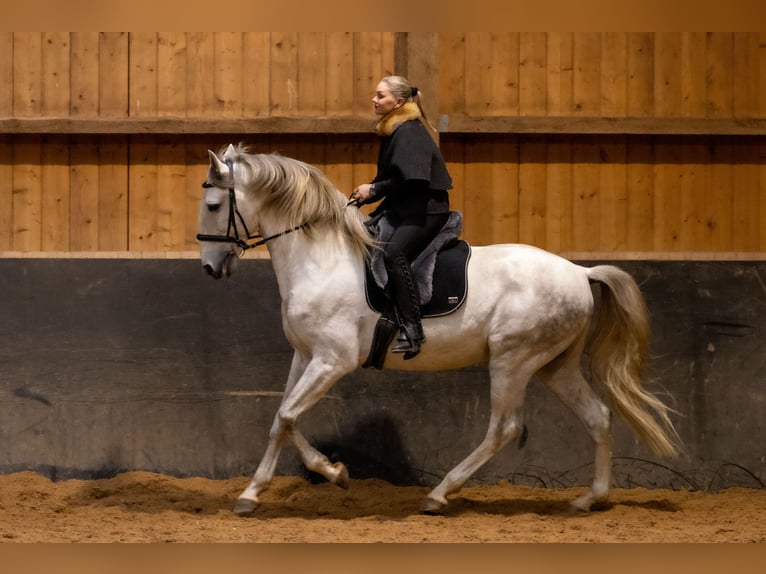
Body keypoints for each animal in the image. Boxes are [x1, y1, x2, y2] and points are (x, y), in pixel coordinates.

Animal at [195, 143, 680, 516]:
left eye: (214, 205)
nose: (210, 267)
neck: (322, 259)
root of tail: (580, 273)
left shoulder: (332, 361)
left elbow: (288, 416)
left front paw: (334, 473)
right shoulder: (306, 356)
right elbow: (282, 419)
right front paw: (253, 493)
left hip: (513, 361)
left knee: (504, 428)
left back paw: (440, 494)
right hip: (555, 365)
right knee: (597, 416)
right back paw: (589, 500)